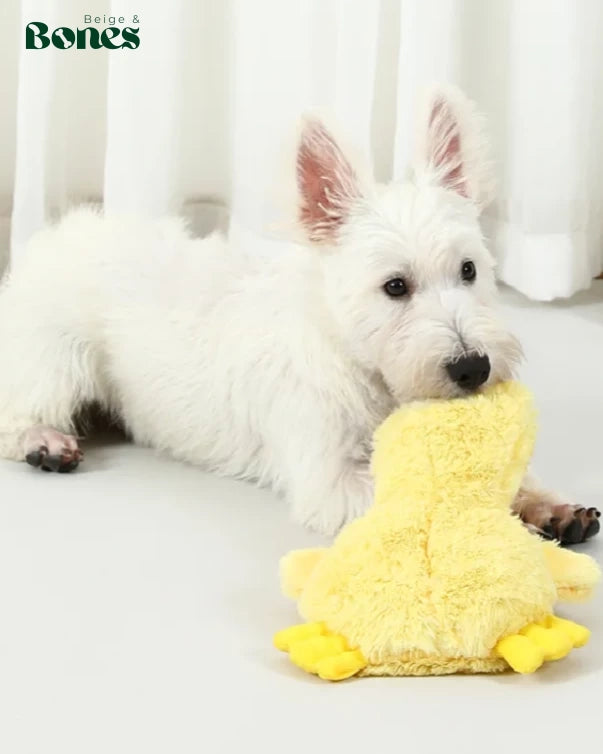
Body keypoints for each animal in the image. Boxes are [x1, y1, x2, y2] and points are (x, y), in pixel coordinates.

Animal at [1, 86, 600, 540]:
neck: (364, 369)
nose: (473, 368)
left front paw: (547, 504)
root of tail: (49, 240)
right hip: (58, 361)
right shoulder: (332, 479)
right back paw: (44, 442)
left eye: (469, 270)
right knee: (17, 410)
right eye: (395, 286)